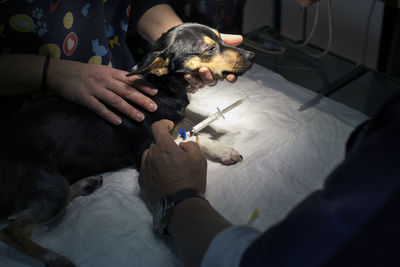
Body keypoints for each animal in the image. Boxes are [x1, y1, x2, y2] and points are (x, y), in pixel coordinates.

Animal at [0, 23, 255, 267]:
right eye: (209, 48)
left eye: (221, 37)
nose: (252, 55)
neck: (161, 85)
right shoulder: (148, 146)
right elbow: (191, 136)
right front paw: (223, 150)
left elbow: (189, 125)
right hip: (50, 189)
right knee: (11, 231)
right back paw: (54, 257)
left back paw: (84, 185)